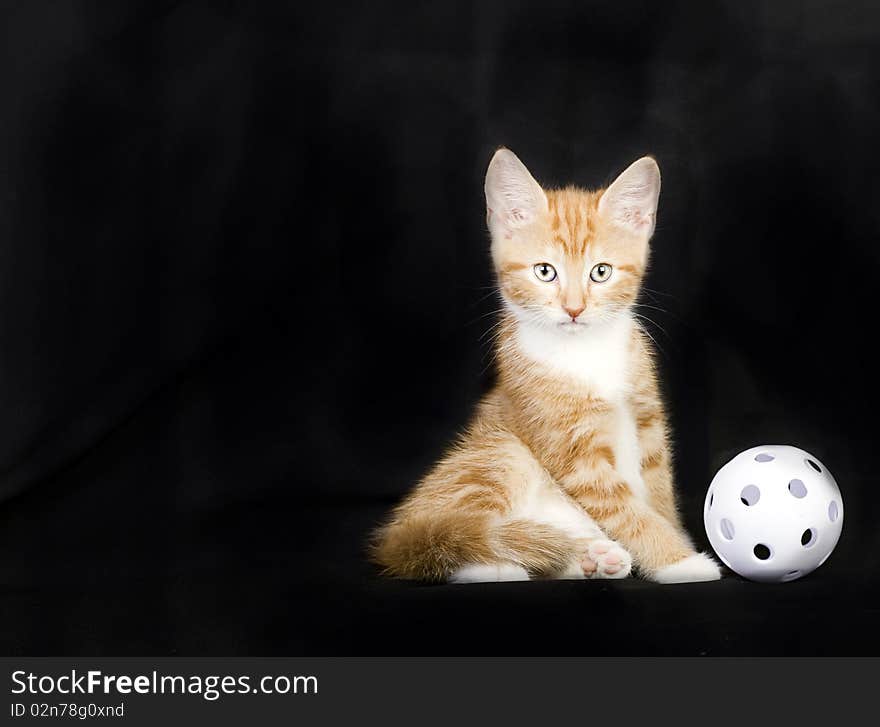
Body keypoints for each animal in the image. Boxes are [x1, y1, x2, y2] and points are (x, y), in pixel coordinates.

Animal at [372, 149, 720, 584]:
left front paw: (675, 538)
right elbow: (625, 510)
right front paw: (680, 561)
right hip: (500, 457)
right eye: (544, 271)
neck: (585, 351)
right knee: (461, 536)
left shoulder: (648, 423)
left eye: (601, 272)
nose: (574, 309)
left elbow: (657, 492)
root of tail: (399, 535)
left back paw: (594, 560)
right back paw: (497, 567)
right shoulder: (573, 452)